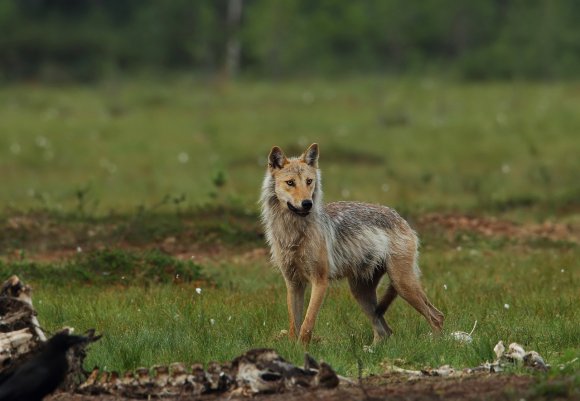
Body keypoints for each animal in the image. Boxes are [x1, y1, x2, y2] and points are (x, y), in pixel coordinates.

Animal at [260, 142, 444, 342]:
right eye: (290, 183)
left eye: (309, 181)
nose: (307, 203)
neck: (293, 234)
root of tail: (402, 219)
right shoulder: (293, 284)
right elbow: (294, 326)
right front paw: (292, 348)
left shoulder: (320, 281)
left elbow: (307, 326)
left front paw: (302, 347)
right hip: (361, 293)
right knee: (385, 331)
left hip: (402, 285)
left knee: (436, 316)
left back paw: (437, 344)